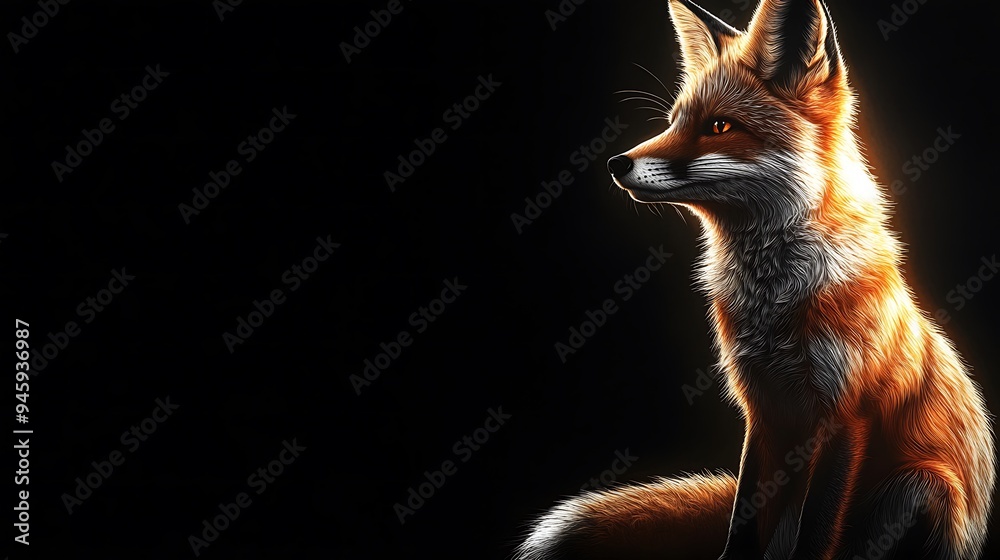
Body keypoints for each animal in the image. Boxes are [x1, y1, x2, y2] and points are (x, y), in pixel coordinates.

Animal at [514, 1, 995, 559]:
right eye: (674, 122)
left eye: (720, 126)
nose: (616, 163)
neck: (774, 307)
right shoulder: (760, 410)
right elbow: (743, 513)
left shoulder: (847, 416)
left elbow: (818, 529)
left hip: (919, 484)